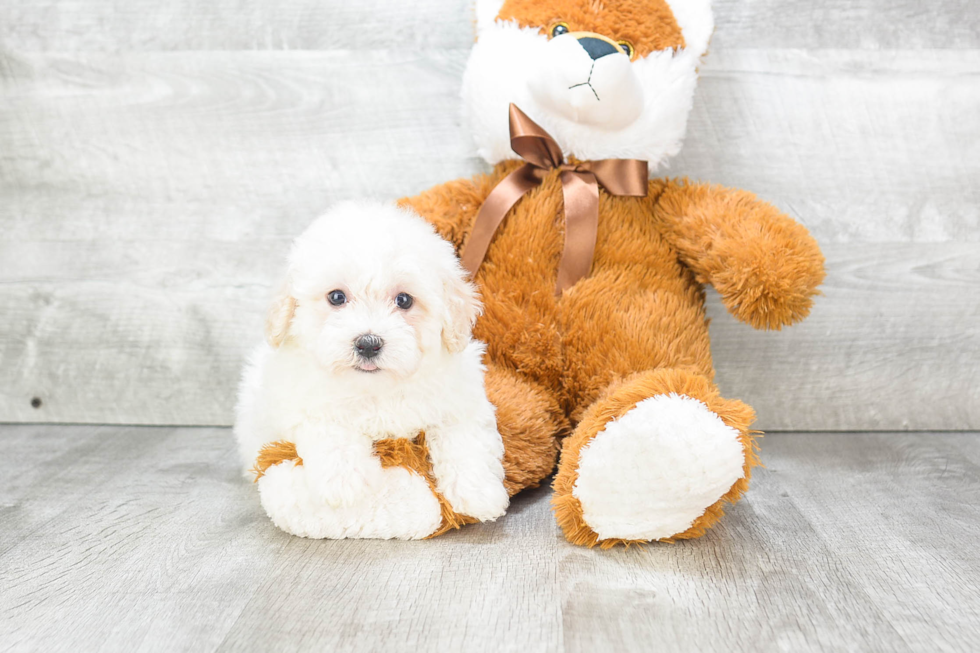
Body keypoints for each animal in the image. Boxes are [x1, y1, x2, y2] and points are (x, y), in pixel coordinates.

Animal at [234, 201, 510, 536]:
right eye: (336, 297)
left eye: (404, 300)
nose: (368, 343)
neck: (378, 389)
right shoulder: (297, 400)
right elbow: (328, 424)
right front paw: (343, 482)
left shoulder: (461, 398)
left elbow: (464, 437)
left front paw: (479, 494)